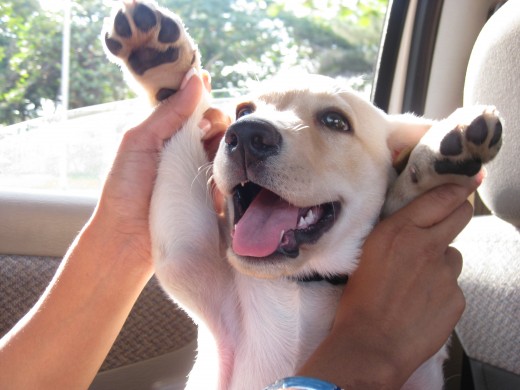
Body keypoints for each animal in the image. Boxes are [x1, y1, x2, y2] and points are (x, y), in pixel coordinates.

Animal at [102, 1, 504, 388]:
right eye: (242, 111)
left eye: (335, 121)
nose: (245, 135)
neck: (300, 287)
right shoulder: (186, 250)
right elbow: (179, 115)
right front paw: (160, 64)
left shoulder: (421, 371)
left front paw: (435, 157)